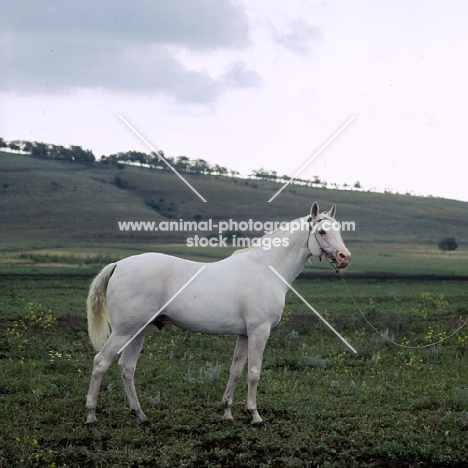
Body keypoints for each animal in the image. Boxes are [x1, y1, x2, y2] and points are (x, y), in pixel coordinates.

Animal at [86, 201, 352, 424]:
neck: (267, 268)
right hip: (124, 331)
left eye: (339, 230)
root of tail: (118, 265)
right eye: (322, 232)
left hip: (138, 331)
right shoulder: (259, 332)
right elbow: (254, 372)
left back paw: (140, 414)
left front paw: (227, 412)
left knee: (126, 367)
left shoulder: (244, 335)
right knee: (100, 362)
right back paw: (91, 415)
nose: (345, 257)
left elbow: (235, 371)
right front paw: (255, 415)